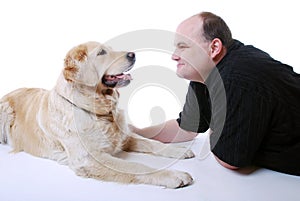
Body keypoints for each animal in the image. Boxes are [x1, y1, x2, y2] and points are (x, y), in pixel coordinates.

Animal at [0, 41, 195, 188]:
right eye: (101, 53)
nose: (132, 54)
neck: (100, 111)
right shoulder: (90, 159)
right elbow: (136, 166)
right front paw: (173, 175)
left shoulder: (124, 136)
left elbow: (153, 143)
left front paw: (178, 150)